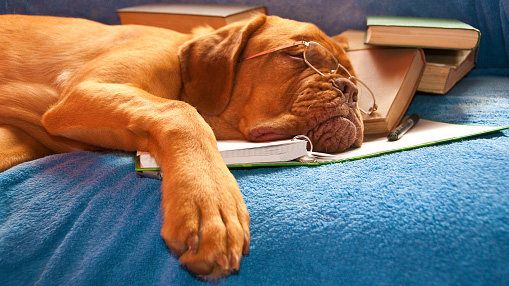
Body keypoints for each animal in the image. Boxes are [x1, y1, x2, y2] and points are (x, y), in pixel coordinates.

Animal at [1, 13, 364, 280]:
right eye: (298, 54)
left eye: (353, 77)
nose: (350, 89)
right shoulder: (84, 92)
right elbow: (182, 112)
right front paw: (210, 200)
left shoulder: (23, 136)